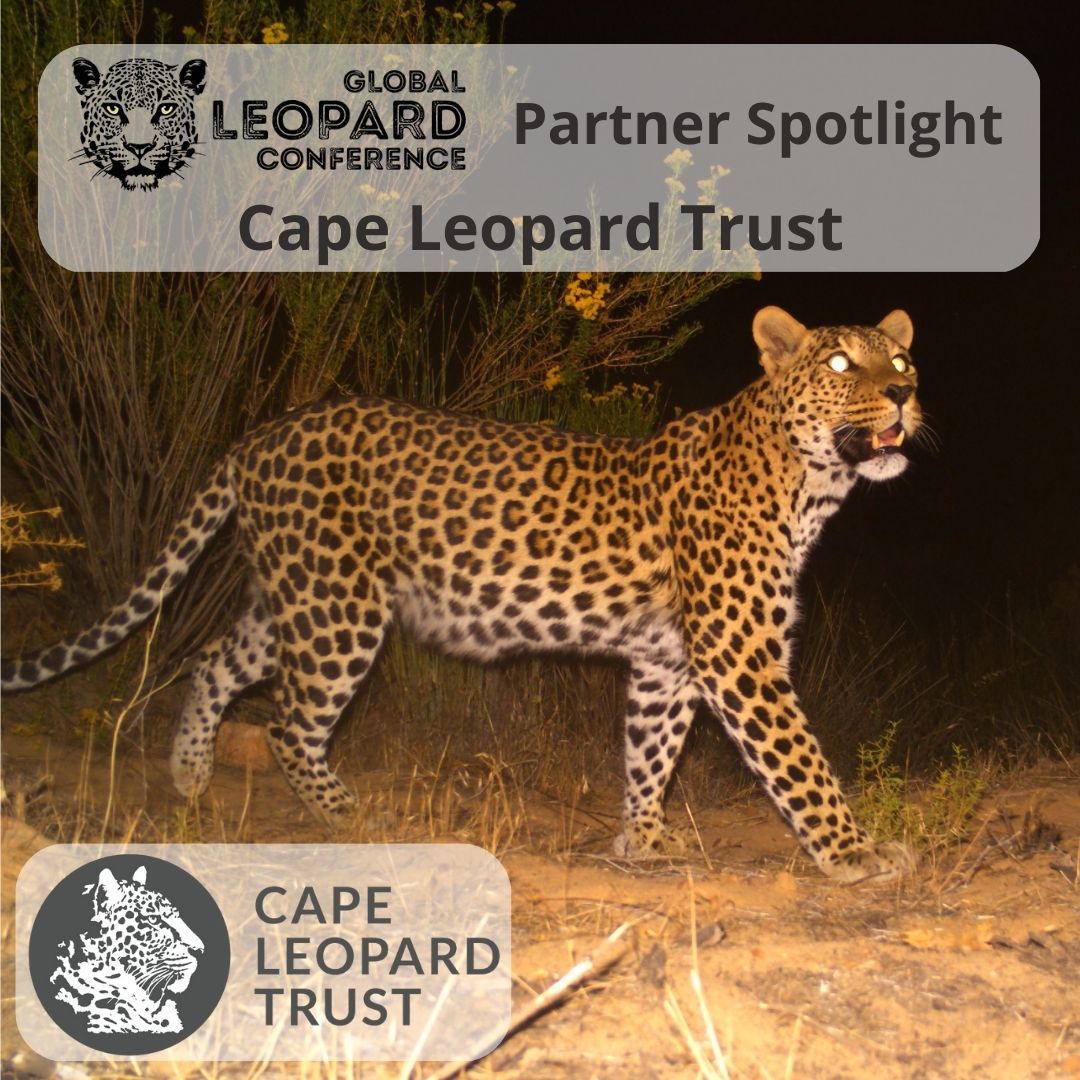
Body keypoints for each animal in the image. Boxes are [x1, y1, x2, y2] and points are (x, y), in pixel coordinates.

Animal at [2, 306, 922, 882]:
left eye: (903, 358)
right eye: (842, 362)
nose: (905, 393)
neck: (809, 486)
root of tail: (258, 434)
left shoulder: (669, 662)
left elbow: (651, 750)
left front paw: (645, 840)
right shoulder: (740, 658)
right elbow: (797, 758)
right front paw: (854, 853)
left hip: (296, 593)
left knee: (212, 661)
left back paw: (189, 775)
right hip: (340, 611)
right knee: (288, 725)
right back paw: (354, 815)